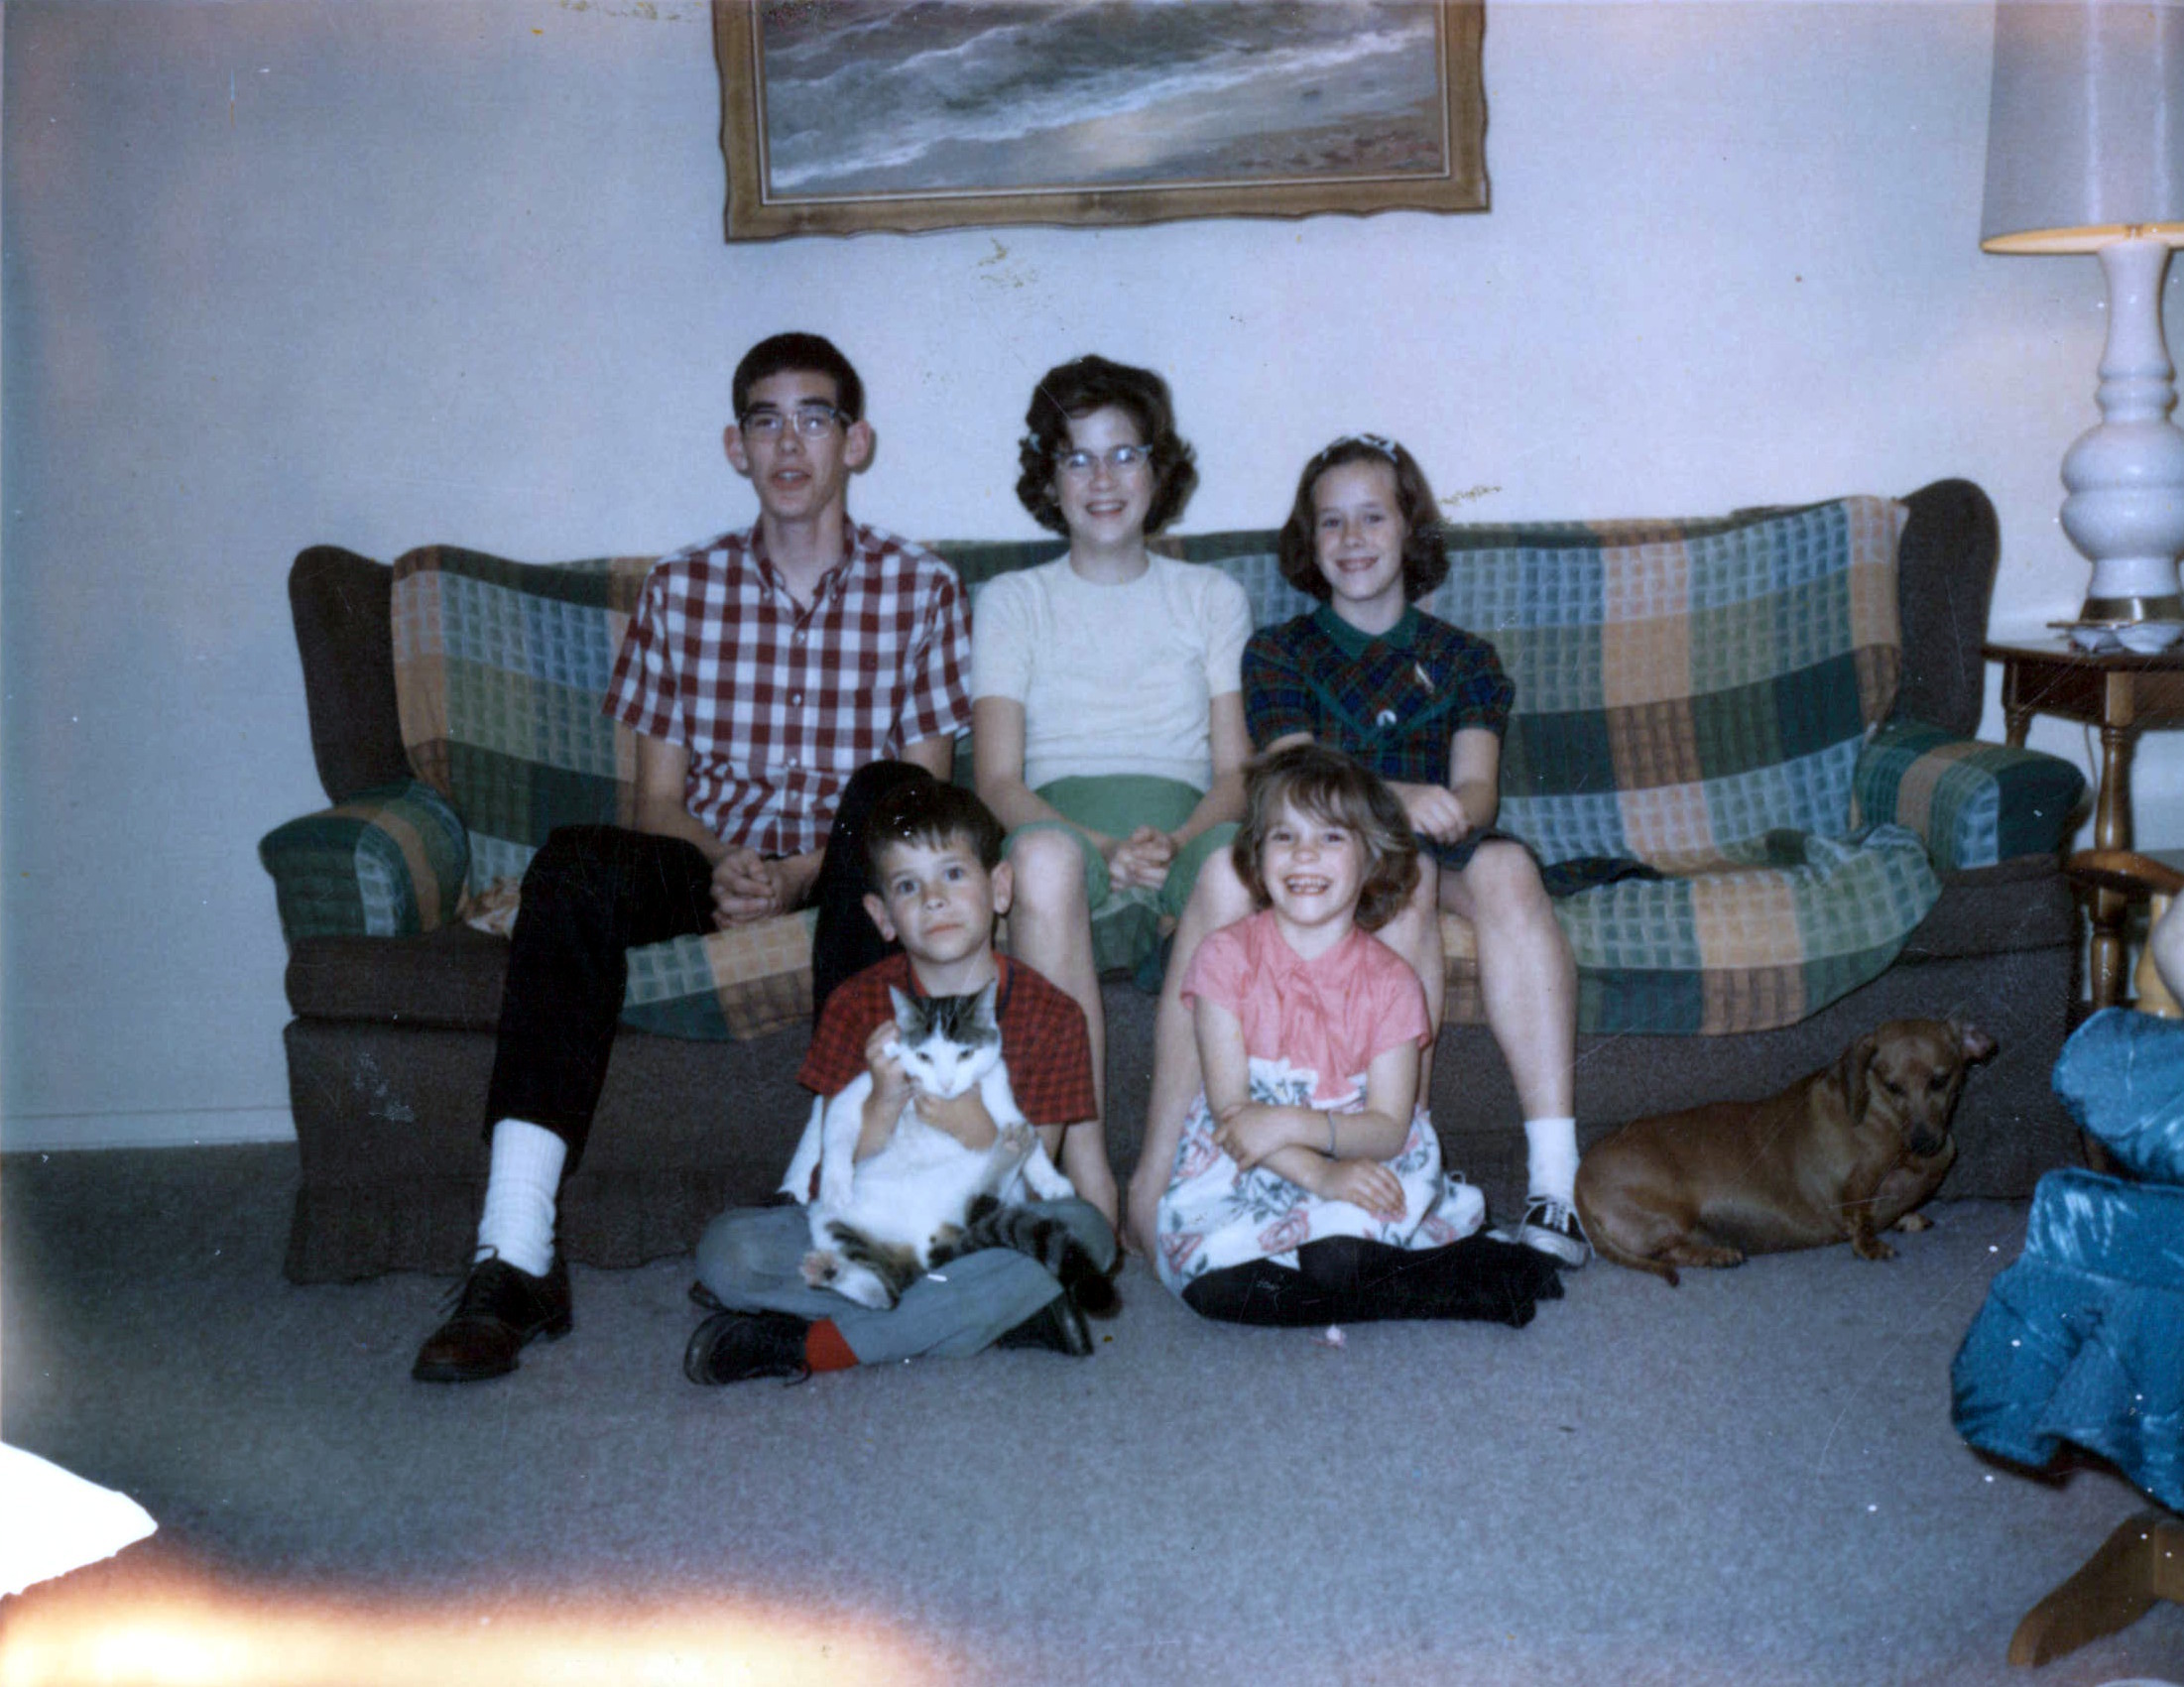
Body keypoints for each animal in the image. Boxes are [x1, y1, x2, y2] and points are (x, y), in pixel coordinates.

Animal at [781, 982, 1112, 1315]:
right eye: (924, 1056)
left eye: (965, 1054)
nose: (946, 1084)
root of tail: (927, 1247)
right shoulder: (865, 1091)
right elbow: (836, 1128)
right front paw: (835, 1183)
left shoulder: (996, 1087)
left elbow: (1022, 1126)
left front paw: (1050, 1180)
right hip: (831, 1222)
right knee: (885, 1288)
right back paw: (829, 1270)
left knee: (973, 1209)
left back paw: (1011, 1149)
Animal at [1573, 1018, 1995, 1285]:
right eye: (1893, 1086)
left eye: (1940, 1080)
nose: (1926, 1144)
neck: (1882, 1117)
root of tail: (1579, 1177)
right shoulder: (1856, 1185)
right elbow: (1859, 1215)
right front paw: (1871, 1244)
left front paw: (1908, 1217)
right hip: (1671, 1213)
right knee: (1669, 1252)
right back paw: (1717, 1254)